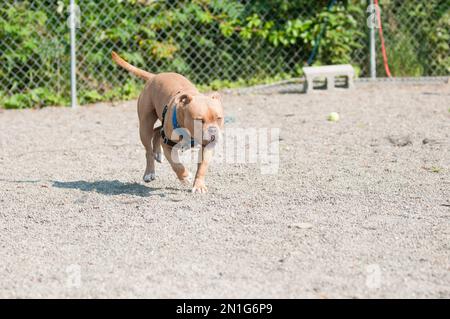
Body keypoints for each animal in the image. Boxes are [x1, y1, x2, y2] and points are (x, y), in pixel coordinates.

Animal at [110, 51, 223, 194]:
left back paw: (158, 153)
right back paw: (149, 173)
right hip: (145, 125)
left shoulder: (207, 145)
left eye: (219, 118)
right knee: (148, 149)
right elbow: (176, 165)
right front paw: (185, 176)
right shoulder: (167, 145)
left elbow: (202, 166)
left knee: (157, 131)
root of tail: (154, 76)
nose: (213, 132)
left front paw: (199, 185)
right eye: (199, 120)